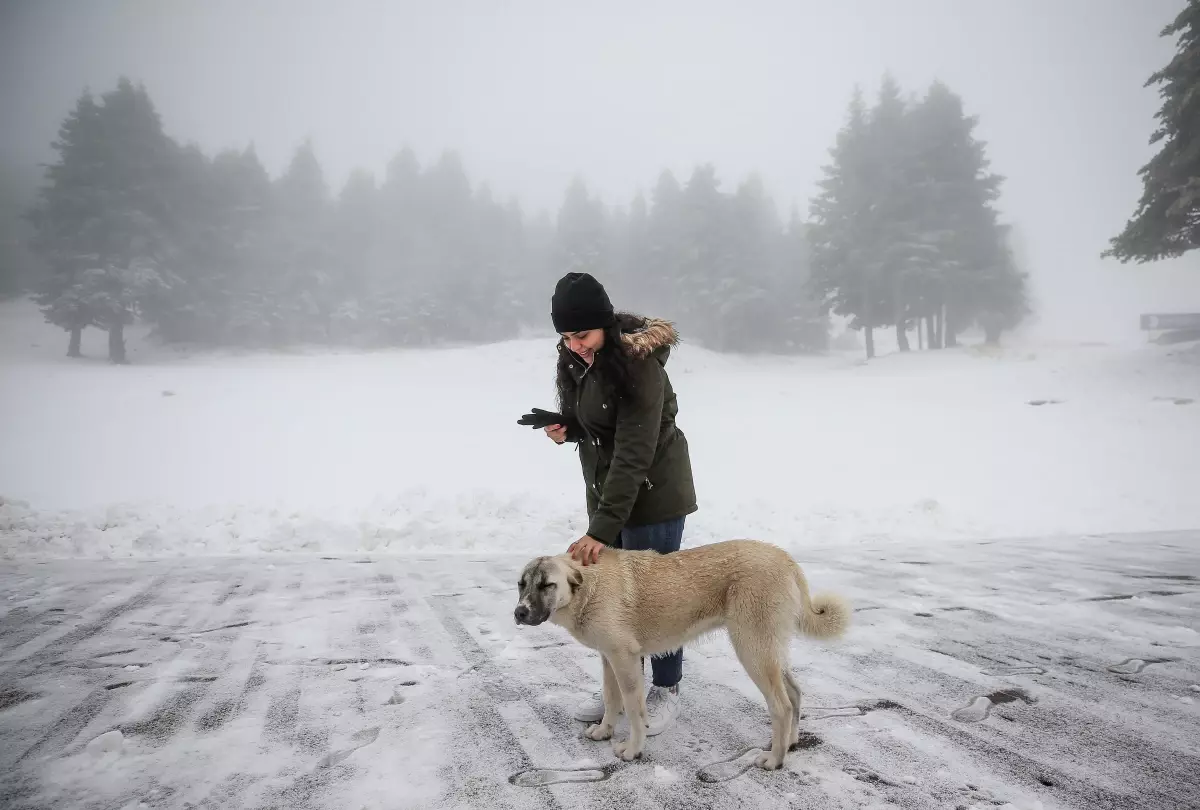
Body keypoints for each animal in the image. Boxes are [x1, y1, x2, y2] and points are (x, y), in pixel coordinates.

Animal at [511, 542, 849, 768]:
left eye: (547, 584)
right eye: (521, 584)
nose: (519, 612)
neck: (588, 589)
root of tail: (787, 559)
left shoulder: (625, 660)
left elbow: (633, 709)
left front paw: (633, 749)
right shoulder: (608, 658)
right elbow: (610, 698)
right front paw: (605, 731)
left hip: (753, 650)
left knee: (781, 706)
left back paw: (774, 759)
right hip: (770, 651)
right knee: (795, 693)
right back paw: (790, 742)